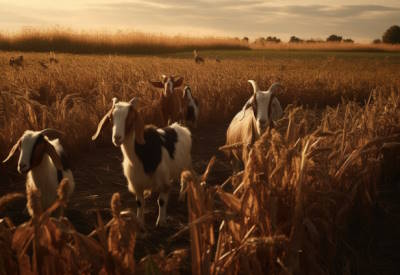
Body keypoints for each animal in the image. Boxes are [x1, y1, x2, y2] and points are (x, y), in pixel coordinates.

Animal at [94, 98, 194, 227]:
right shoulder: (137, 183)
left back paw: (181, 197)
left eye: (130, 118)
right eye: (111, 118)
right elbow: (140, 203)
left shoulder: (162, 180)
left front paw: (160, 222)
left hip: (186, 164)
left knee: (185, 179)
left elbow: (161, 201)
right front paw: (140, 222)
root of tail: (179, 127)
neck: (141, 154)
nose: (117, 138)